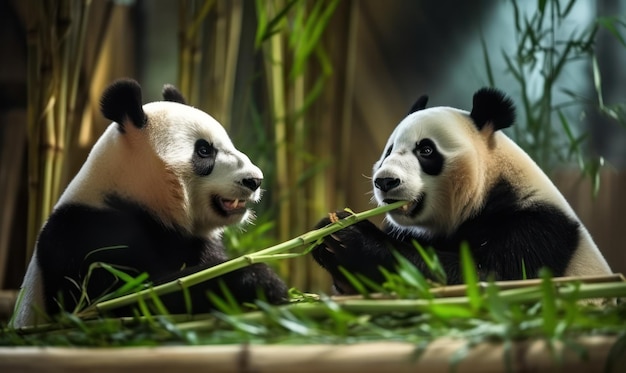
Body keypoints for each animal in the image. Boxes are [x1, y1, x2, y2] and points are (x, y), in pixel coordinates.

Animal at [12, 78, 286, 326]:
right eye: (204, 151)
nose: (254, 180)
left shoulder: (196, 242)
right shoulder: (84, 236)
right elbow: (115, 302)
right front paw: (260, 279)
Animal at [310, 87, 608, 294]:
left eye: (426, 150)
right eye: (389, 151)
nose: (385, 181)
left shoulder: (536, 228)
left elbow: (485, 279)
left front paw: (352, 236)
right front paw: (326, 234)